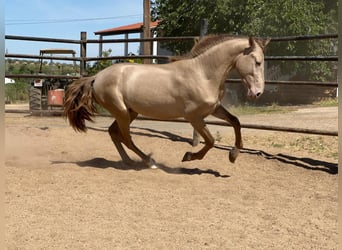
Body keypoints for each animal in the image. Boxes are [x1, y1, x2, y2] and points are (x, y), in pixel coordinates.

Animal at [65, 35, 270, 168]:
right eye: (257, 62)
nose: (257, 93)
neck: (203, 74)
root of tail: (96, 77)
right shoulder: (194, 117)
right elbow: (211, 141)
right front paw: (189, 156)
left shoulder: (214, 109)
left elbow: (236, 121)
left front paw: (233, 155)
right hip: (122, 112)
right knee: (126, 138)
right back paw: (149, 161)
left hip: (130, 112)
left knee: (113, 133)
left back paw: (129, 161)